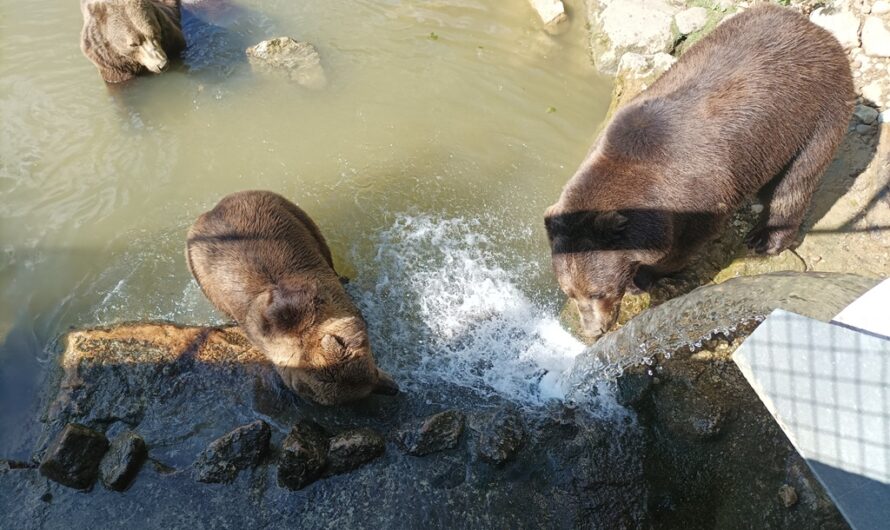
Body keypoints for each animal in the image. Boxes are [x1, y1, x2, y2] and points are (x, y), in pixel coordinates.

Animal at [186, 190, 398, 404]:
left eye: (373, 371)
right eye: (371, 381)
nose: (394, 388)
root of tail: (214, 208)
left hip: (286, 210)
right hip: (200, 271)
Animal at [540, 5, 852, 338]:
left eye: (598, 291)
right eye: (570, 292)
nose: (593, 330)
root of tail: (814, 28)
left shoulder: (697, 198)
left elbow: (683, 245)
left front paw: (643, 277)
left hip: (815, 109)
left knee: (798, 177)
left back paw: (765, 239)